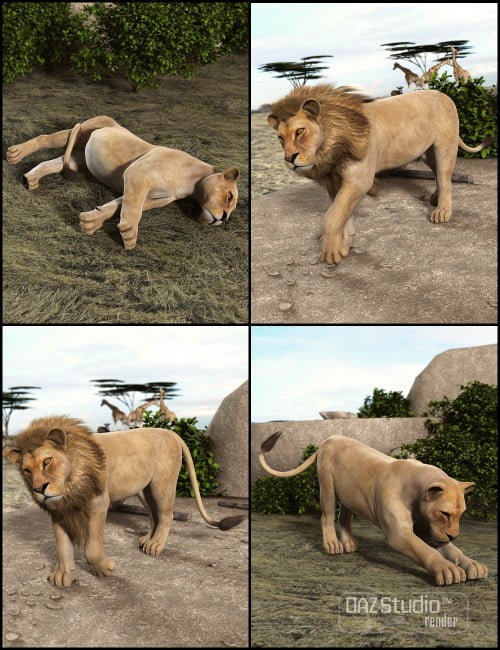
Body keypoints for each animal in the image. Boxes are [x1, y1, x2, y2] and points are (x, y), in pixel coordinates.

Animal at [3, 415, 244, 587]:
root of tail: (170, 432)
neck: (70, 485)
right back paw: (147, 539)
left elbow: (91, 547)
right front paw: (62, 574)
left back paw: (156, 545)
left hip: (162, 484)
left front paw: (103, 569)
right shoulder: (59, 509)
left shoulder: (99, 502)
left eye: (47, 461)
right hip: (143, 489)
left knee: (166, 514)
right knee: (153, 514)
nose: (38, 489)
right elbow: (62, 545)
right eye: (26, 470)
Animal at [6, 116, 239, 250]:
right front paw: (129, 233)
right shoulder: (136, 174)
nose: (224, 219)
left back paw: (31, 179)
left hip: (78, 159)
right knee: (45, 138)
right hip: (79, 130)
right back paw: (15, 153)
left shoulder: (155, 196)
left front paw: (92, 222)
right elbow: (132, 208)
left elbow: (118, 205)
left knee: (51, 162)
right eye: (229, 197)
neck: (193, 184)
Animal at [259, 432, 488, 586]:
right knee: (327, 516)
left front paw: (473, 565)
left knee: (344, 517)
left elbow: (453, 551)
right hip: (328, 487)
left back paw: (350, 543)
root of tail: (329, 438)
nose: (454, 535)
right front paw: (448, 569)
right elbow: (425, 551)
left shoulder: (433, 533)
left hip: (349, 495)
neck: (417, 495)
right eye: (444, 513)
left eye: (461, 514)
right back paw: (333, 545)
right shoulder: (400, 535)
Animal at [267, 84, 493, 265]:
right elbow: (342, 213)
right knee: (437, 173)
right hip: (425, 152)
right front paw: (345, 242)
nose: (289, 158)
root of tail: (445, 95)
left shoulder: (359, 179)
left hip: (444, 145)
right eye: (280, 138)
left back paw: (442, 212)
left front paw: (331, 252)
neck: (330, 145)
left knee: (446, 177)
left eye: (300, 131)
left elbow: (332, 215)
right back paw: (435, 198)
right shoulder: (335, 180)